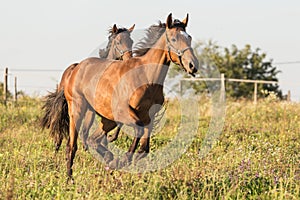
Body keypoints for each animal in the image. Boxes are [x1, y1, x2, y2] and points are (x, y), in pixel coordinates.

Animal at [40, 23, 134, 152]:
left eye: (131, 41)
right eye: (118, 42)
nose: (129, 59)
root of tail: (73, 69)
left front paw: (108, 139)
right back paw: (57, 148)